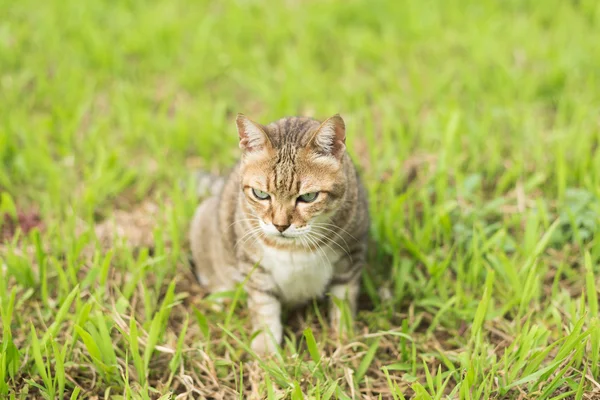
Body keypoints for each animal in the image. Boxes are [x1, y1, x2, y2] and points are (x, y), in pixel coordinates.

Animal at [191, 114, 370, 354]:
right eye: (260, 194)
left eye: (309, 197)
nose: (280, 225)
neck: (294, 247)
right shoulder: (255, 267)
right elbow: (264, 307)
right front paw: (266, 352)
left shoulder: (351, 255)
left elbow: (343, 299)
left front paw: (344, 337)